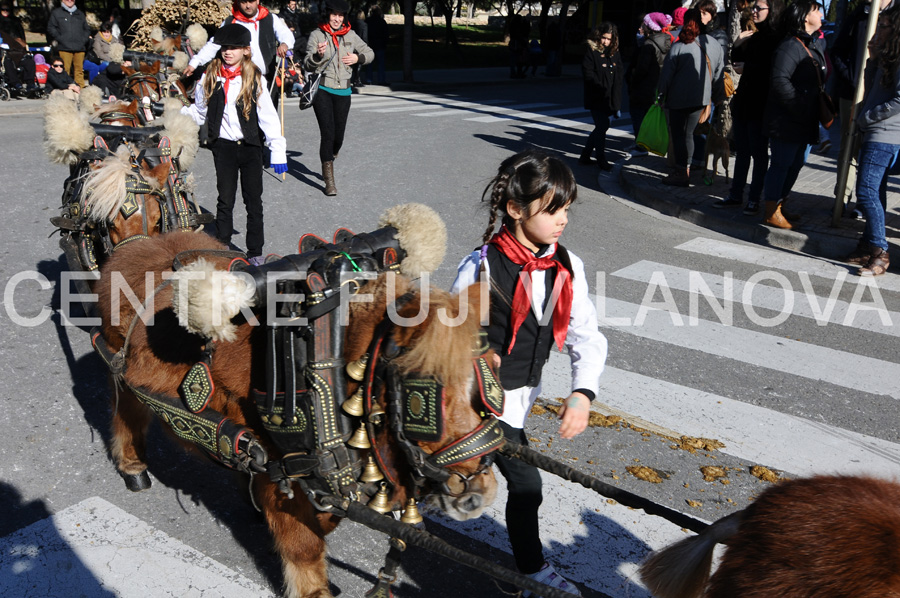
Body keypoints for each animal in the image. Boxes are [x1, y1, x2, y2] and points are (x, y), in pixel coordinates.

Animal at [95, 213, 502, 596]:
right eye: (431, 395)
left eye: (491, 375)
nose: (479, 494)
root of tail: (136, 244)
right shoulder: (282, 474)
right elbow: (304, 544)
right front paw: (314, 588)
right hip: (123, 374)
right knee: (126, 413)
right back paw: (133, 467)